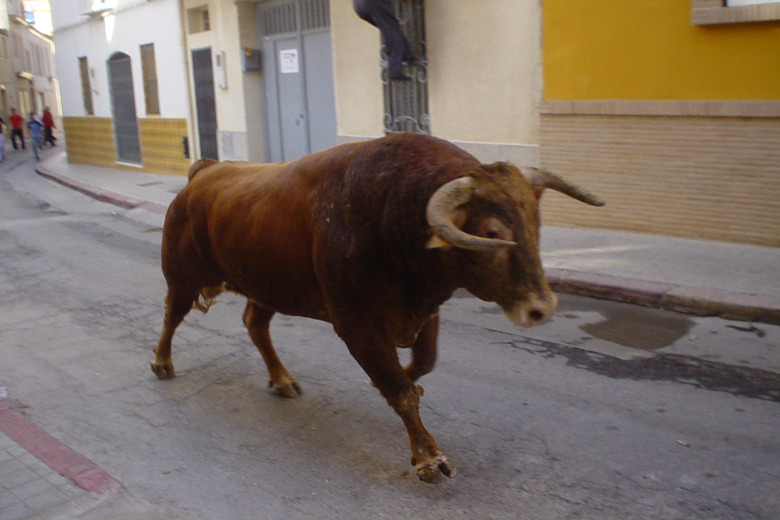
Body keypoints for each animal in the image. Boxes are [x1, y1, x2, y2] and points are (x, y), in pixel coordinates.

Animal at [151, 133, 603, 482]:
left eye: (536, 223)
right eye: (492, 232)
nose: (542, 307)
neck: (392, 215)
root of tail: (205, 171)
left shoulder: (424, 312)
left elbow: (420, 366)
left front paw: (404, 381)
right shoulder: (357, 325)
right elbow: (401, 393)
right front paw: (428, 458)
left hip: (268, 287)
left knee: (254, 323)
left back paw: (281, 379)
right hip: (183, 276)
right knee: (172, 315)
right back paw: (161, 363)